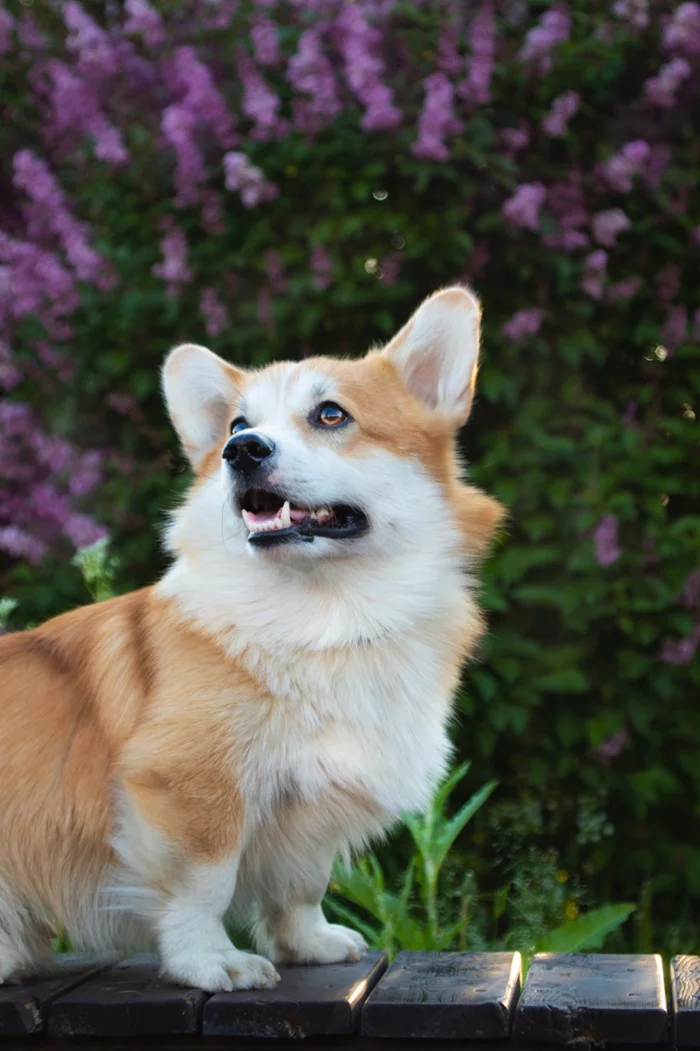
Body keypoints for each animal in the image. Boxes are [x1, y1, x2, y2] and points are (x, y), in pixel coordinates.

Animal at [0, 287, 502, 992]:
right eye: (237, 425)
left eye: (330, 414)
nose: (242, 451)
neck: (324, 615)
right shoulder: (191, 790)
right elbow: (202, 888)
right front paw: (211, 961)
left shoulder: (310, 813)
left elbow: (300, 885)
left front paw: (309, 944)